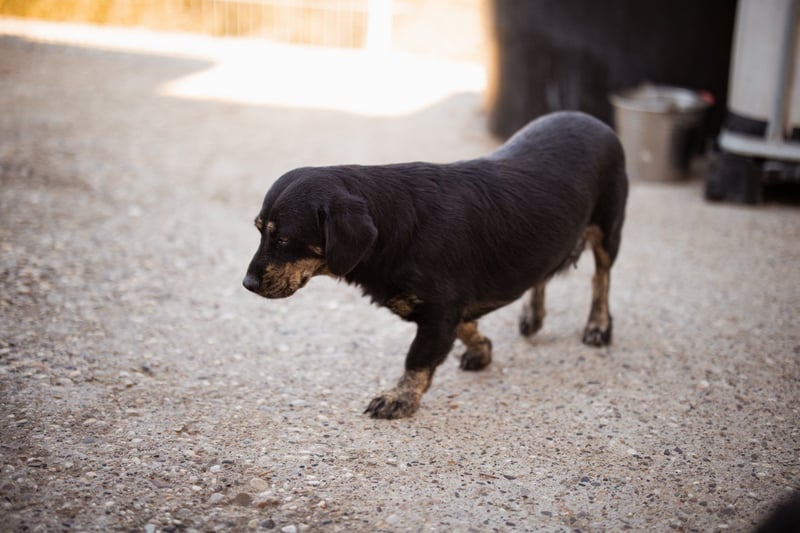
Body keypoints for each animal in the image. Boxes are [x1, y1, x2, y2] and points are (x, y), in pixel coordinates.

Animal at [243, 111, 628, 419]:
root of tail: (592, 119)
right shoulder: (448, 308)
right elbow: (465, 328)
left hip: (608, 230)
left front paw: (399, 398)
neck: (398, 225)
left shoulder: (440, 311)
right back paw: (532, 317)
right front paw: (482, 349)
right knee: (544, 274)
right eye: (260, 230)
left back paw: (598, 325)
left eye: (283, 239)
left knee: (602, 278)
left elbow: (418, 357)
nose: (247, 285)